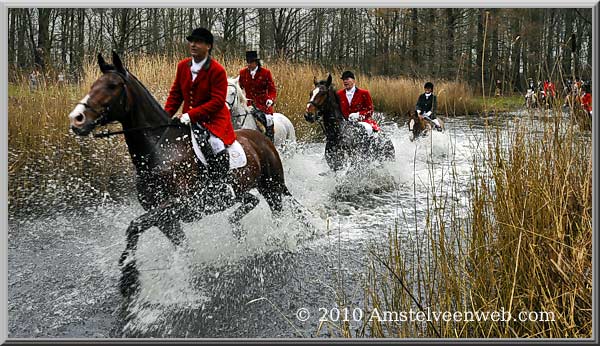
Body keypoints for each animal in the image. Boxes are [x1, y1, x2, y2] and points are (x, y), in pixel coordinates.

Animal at [68, 52, 292, 296]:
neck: (160, 150)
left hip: (272, 187)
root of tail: (262, 138)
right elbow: (178, 244)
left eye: (112, 86)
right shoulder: (165, 217)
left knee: (277, 212)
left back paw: (278, 238)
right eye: (93, 85)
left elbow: (133, 226)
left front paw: (129, 279)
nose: (77, 118)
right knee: (250, 202)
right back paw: (238, 231)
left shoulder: (179, 204)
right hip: (242, 192)